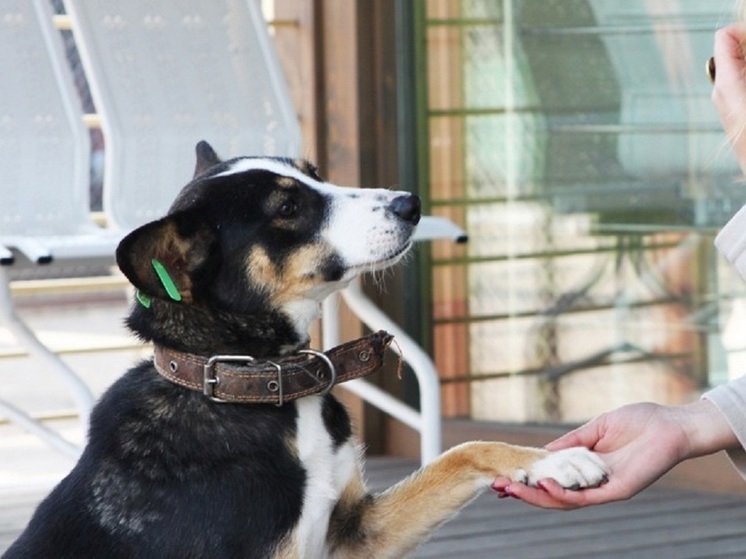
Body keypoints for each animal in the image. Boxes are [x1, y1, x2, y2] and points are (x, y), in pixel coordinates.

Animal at [4, 143, 604, 559]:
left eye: (315, 174)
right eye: (289, 206)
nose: (410, 204)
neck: (254, 383)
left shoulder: (357, 532)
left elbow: (462, 451)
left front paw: (550, 460)